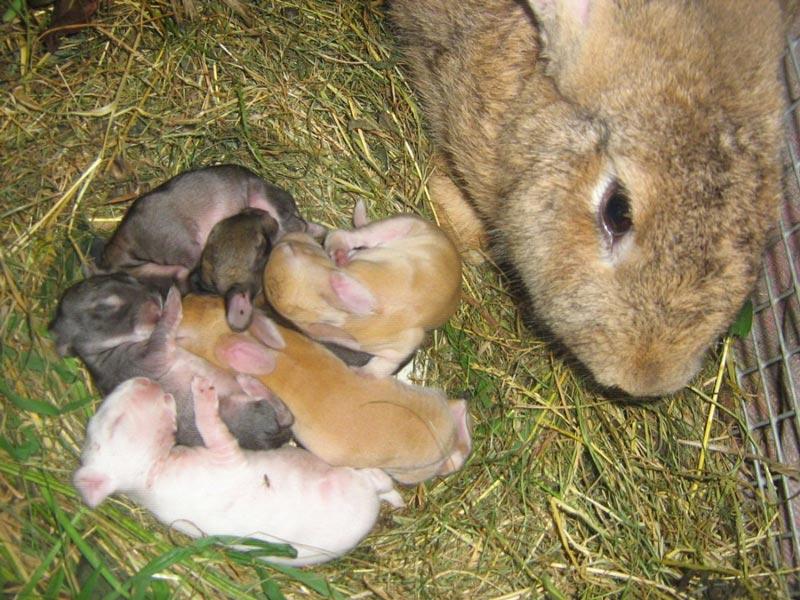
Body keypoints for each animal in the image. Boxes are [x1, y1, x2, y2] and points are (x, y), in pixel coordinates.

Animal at [75, 378, 404, 564]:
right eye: (115, 423)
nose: (140, 380)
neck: (151, 476)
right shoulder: (225, 455)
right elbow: (211, 424)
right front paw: (202, 391)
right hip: (350, 477)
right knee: (376, 479)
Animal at [264, 202, 462, 376]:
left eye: (291, 249)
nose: (286, 238)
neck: (337, 314)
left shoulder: (402, 344)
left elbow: (385, 364)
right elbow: (383, 365)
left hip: (403, 225)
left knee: (349, 235)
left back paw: (340, 254)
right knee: (349, 235)